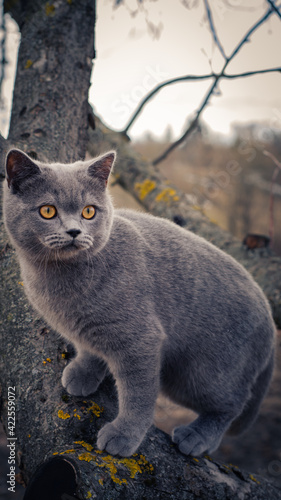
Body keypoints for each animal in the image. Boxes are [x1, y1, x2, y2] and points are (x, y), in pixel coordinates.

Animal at [2, 148, 274, 458]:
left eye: (88, 211)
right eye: (47, 210)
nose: (74, 232)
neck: (61, 282)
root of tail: (269, 313)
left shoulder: (141, 340)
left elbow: (138, 394)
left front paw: (123, 434)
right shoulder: (87, 328)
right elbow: (90, 348)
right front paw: (82, 373)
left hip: (203, 374)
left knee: (231, 405)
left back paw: (197, 436)